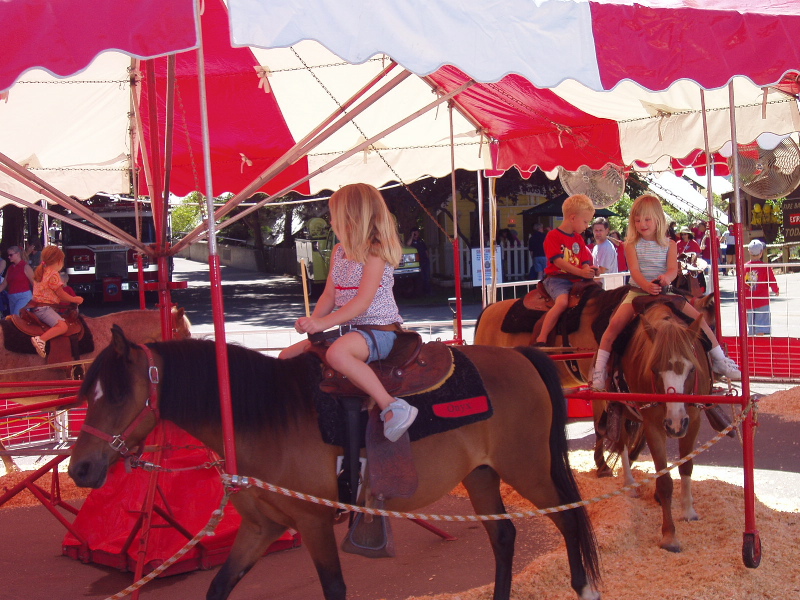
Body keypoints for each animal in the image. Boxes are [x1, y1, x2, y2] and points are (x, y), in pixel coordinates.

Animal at [68, 328, 601, 600]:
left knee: (570, 519)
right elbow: (218, 588)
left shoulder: (314, 522)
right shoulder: (261, 527)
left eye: (118, 394)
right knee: (505, 535)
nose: (80, 470)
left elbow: (335, 588)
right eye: (88, 393)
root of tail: (522, 357)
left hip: (528, 467)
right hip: (482, 474)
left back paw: (584, 589)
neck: (267, 418)